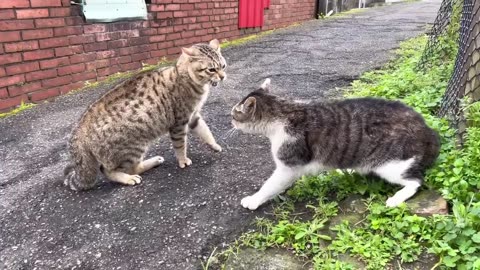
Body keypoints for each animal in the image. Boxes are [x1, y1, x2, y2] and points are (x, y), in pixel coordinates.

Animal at [64, 39, 227, 191]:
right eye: (211, 69)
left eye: (223, 66)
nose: (223, 76)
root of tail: (79, 128)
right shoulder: (179, 123)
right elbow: (180, 145)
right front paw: (183, 160)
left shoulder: (193, 116)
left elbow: (206, 131)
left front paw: (214, 145)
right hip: (133, 147)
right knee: (109, 170)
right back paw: (129, 178)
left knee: (129, 168)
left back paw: (154, 161)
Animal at [232, 78, 438, 209]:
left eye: (234, 113)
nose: (230, 120)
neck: (283, 111)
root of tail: (427, 129)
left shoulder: (289, 165)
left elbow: (270, 185)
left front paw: (254, 200)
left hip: (391, 165)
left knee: (416, 181)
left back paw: (396, 198)